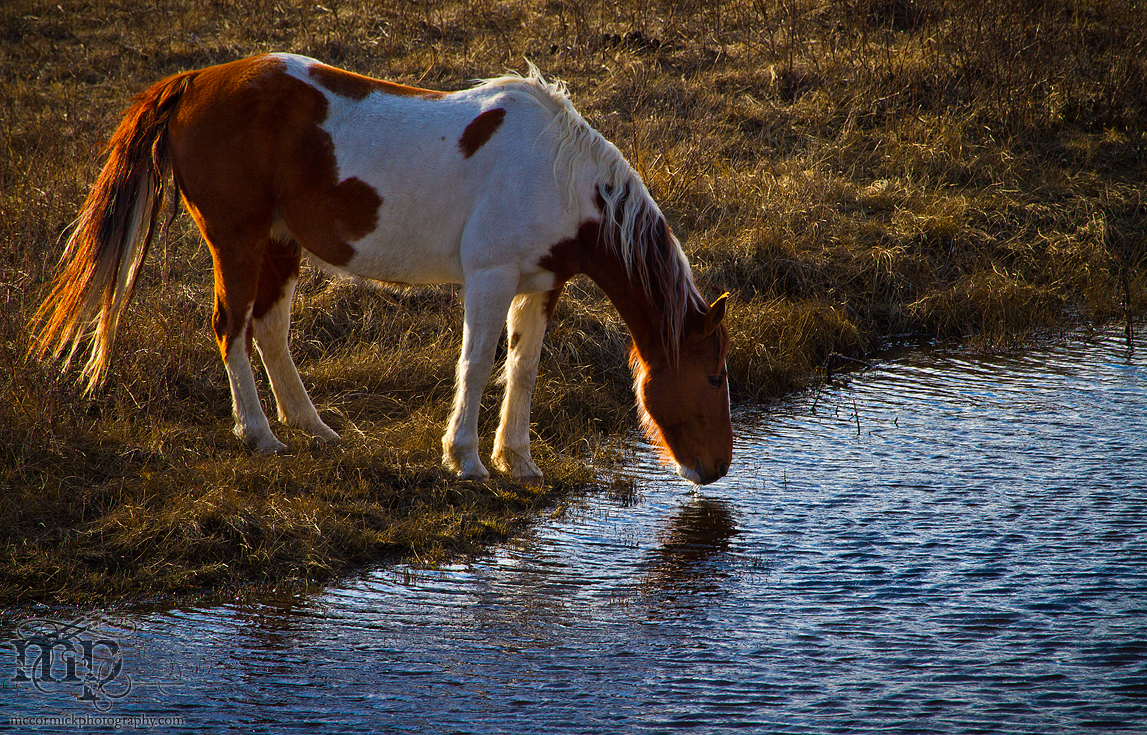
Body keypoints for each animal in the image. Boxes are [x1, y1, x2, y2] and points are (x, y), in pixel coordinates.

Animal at [30, 53, 733, 485]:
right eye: (715, 375)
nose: (718, 469)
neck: (556, 174)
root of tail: (195, 81)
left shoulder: (540, 285)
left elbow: (524, 369)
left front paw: (519, 461)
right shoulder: (490, 277)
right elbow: (477, 364)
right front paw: (466, 459)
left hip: (280, 245)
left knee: (269, 331)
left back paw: (314, 428)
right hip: (237, 241)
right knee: (230, 328)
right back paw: (259, 435)